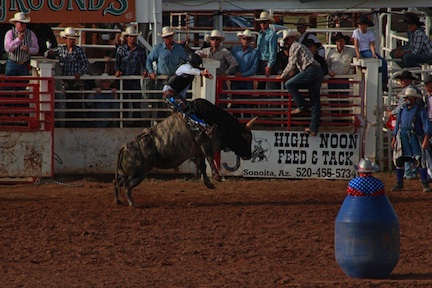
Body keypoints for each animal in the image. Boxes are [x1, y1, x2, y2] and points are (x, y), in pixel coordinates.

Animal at [114, 98, 256, 206]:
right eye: (246, 138)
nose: (249, 156)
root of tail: (125, 147)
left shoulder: (198, 151)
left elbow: (202, 165)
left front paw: (209, 183)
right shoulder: (204, 141)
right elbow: (210, 158)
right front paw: (218, 176)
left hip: (125, 173)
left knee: (116, 183)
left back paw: (119, 201)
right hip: (138, 174)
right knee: (126, 185)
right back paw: (131, 203)